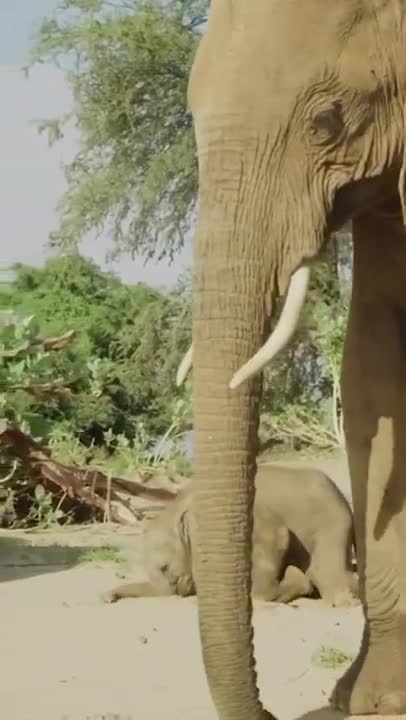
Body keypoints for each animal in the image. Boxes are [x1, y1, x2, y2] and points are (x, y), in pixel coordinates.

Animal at [101, 463, 359, 607]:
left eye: (164, 568)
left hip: (330, 525)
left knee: (326, 572)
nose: (107, 598)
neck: (176, 508)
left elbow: (279, 536)